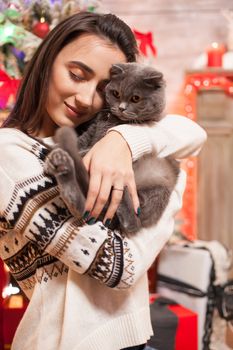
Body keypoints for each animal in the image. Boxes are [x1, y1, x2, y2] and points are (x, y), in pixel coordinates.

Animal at [44, 63, 179, 235]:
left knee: (132, 221)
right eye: (116, 93)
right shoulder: (91, 131)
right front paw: (54, 149)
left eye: (136, 98)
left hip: (159, 184)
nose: (121, 108)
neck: (111, 120)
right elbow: (81, 142)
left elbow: (87, 151)